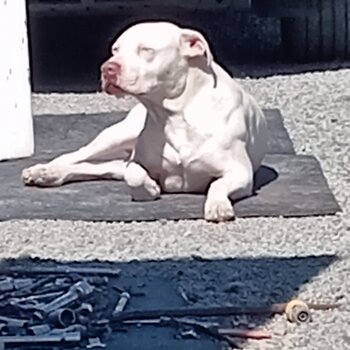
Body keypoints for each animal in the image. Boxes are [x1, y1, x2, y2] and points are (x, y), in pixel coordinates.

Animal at [22, 21, 268, 221]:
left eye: (146, 50)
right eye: (115, 50)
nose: (107, 67)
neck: (175, 114)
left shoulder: (240, 173)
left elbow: (217, 184)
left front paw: (217, 205)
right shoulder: (138, 161)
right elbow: (134, 175)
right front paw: (150, 188)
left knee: (101, 166)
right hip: (116, 135)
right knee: (77, 156)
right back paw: (46, 171)